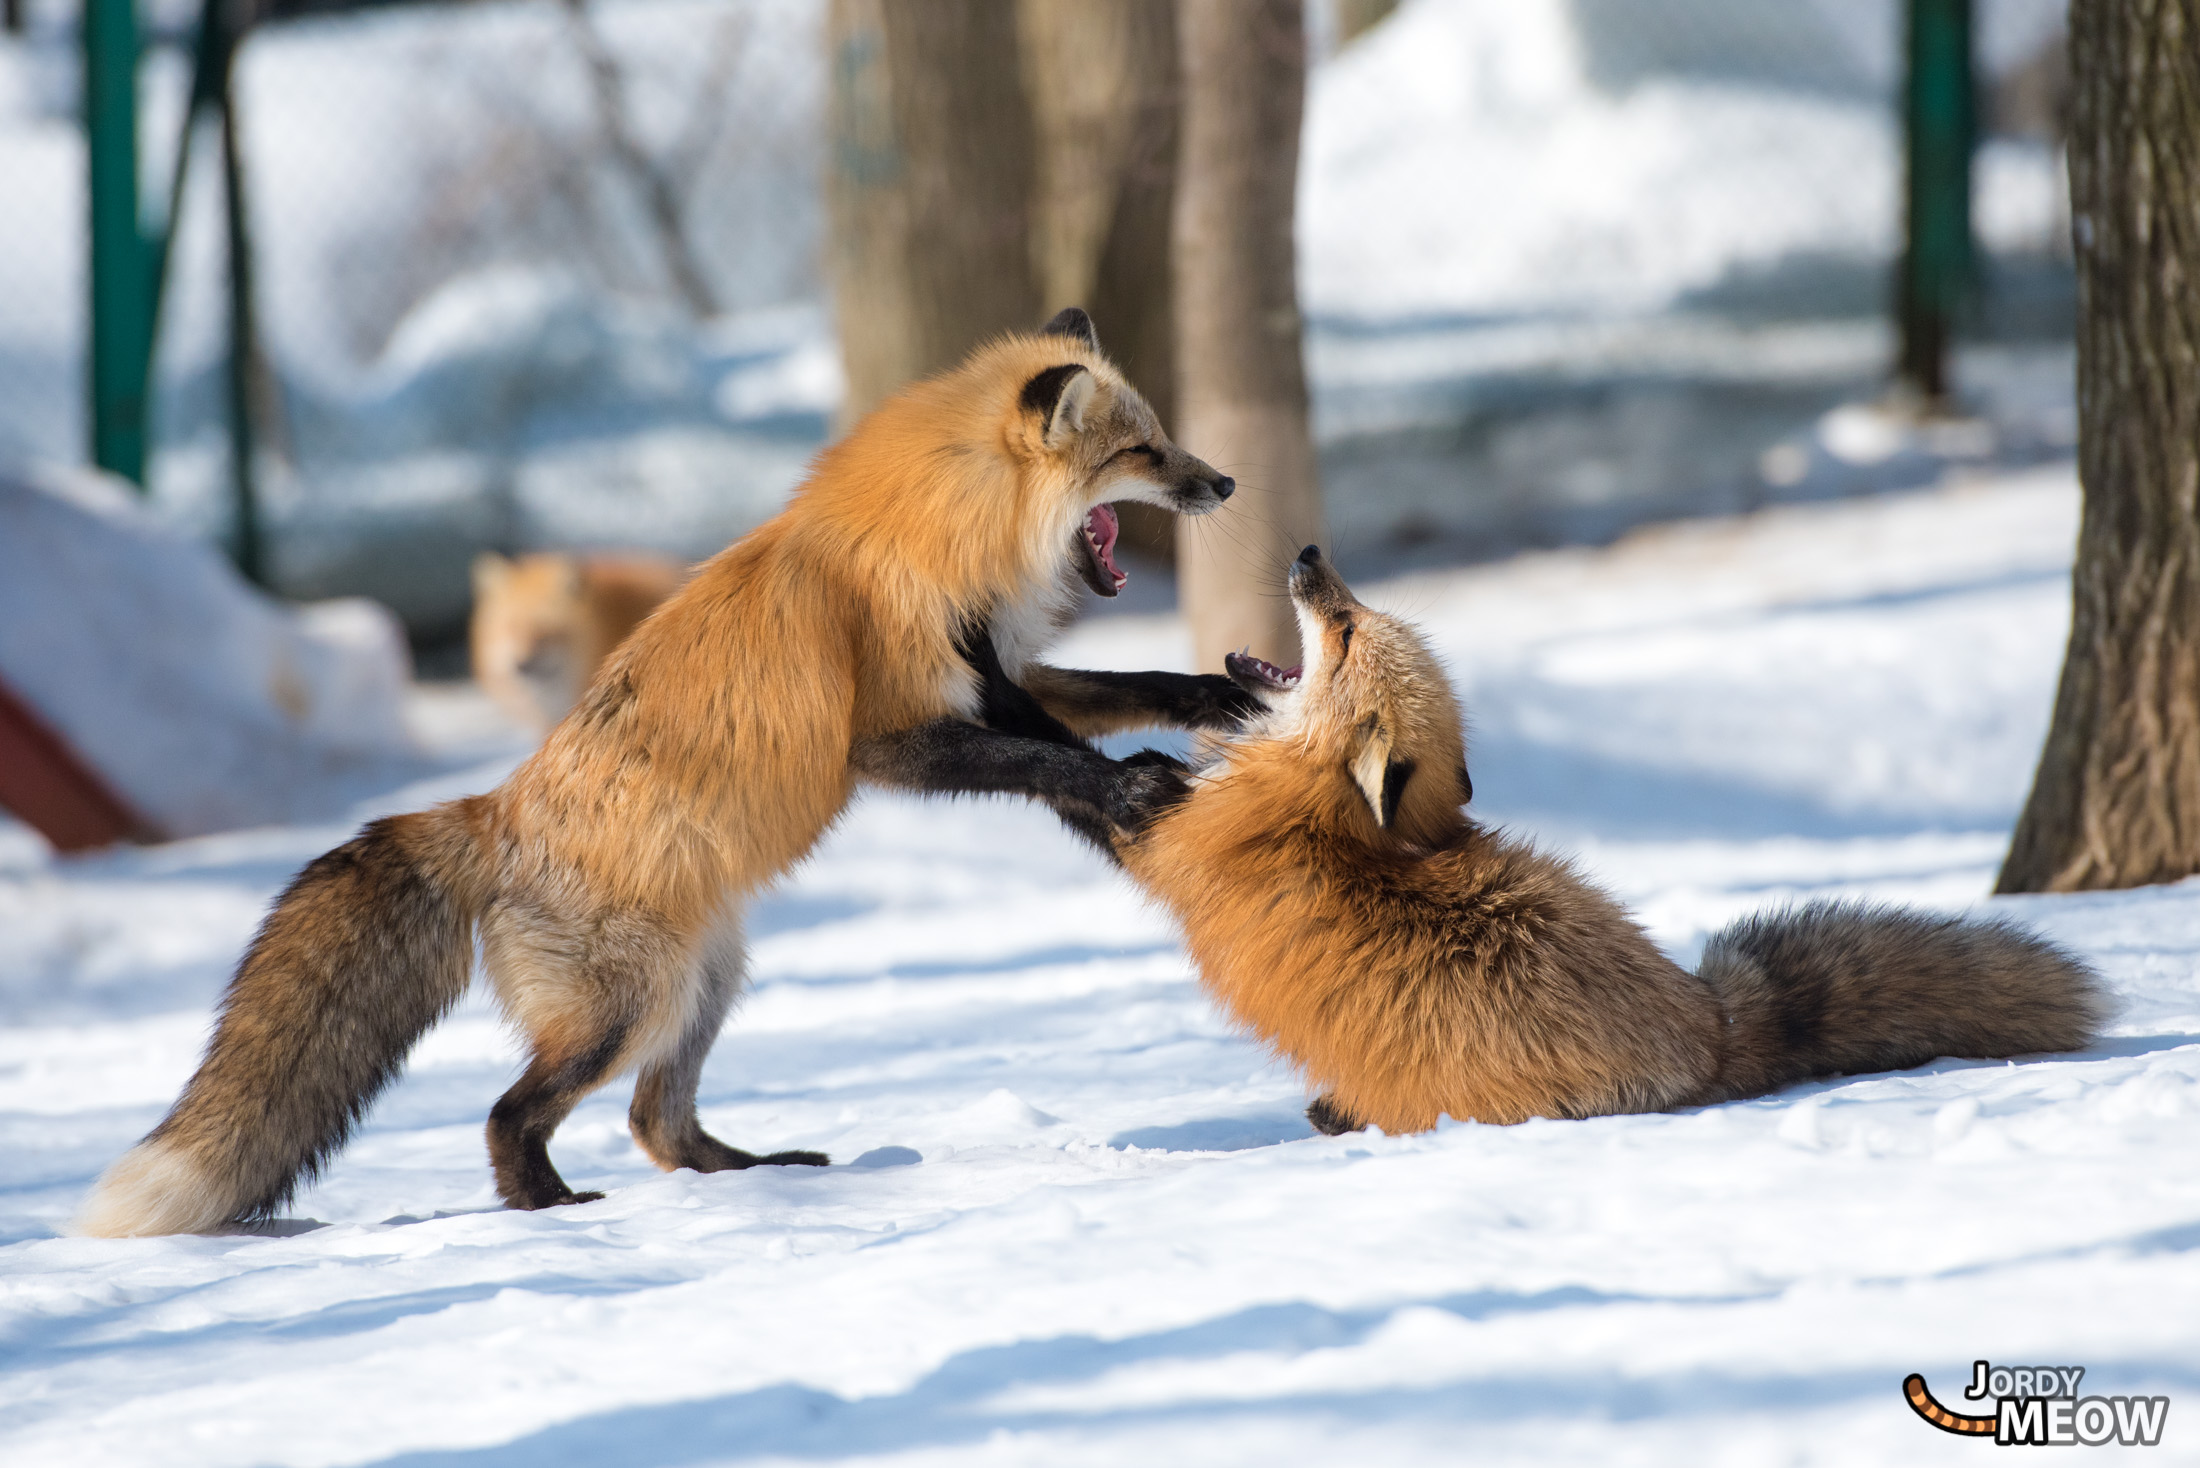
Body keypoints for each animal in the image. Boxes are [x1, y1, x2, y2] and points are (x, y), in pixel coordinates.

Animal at [77, 312, 1249, 1241]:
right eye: (1145, 447)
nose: (1226, 482)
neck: (934, 541)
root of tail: (488, 812)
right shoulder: (891, 731)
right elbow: (1044, 757)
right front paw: (1132, 786)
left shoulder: (997, 671)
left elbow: (1118, 690)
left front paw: (1212, 702)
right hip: (626, 1005)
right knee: (511, 1113)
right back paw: (546, 1207)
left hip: (704, 983)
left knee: (656, 1122)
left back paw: (753, 1173)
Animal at [884, 545, 2103, 1135]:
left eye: (1344, 630)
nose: (1311, 553)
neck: (1305, 803)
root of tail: (1712, 1027)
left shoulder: (1161, 845)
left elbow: (1058, 759)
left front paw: (971, 660)